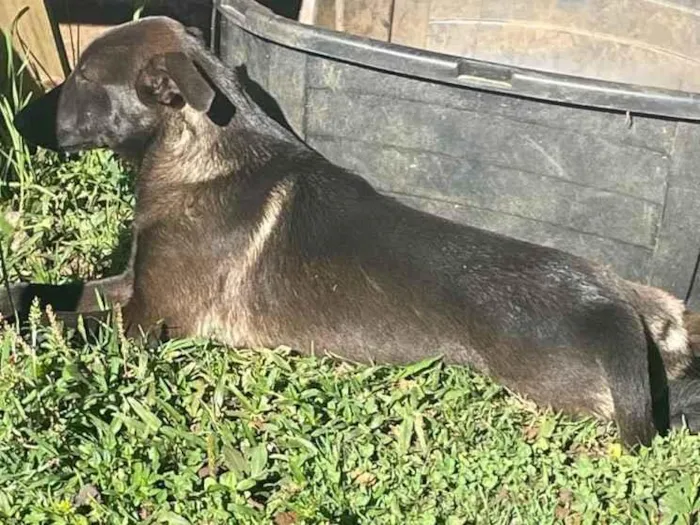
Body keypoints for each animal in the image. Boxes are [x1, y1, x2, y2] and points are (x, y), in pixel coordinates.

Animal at [8, 18, 700, 448]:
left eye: (83, 78)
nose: (15, 119)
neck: (196, 148)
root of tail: (612, 305)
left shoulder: (148, 322)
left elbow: (62, 323)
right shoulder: (130, 283)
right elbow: (42, 294)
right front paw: (15, 297)